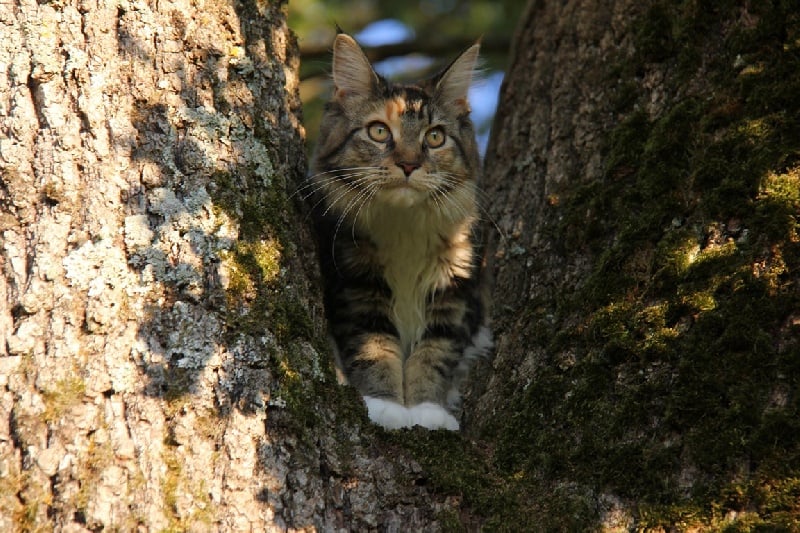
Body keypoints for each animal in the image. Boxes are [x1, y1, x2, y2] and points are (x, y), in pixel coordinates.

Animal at [308, 33, 490, 430]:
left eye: (435, 137)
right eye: (379, 131)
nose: (409, 164)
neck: (404, 227)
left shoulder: (455, 294)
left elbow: (433, 355)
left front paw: (428, 412)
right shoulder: (357, 286)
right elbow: (375, 348)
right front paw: (385, 406)